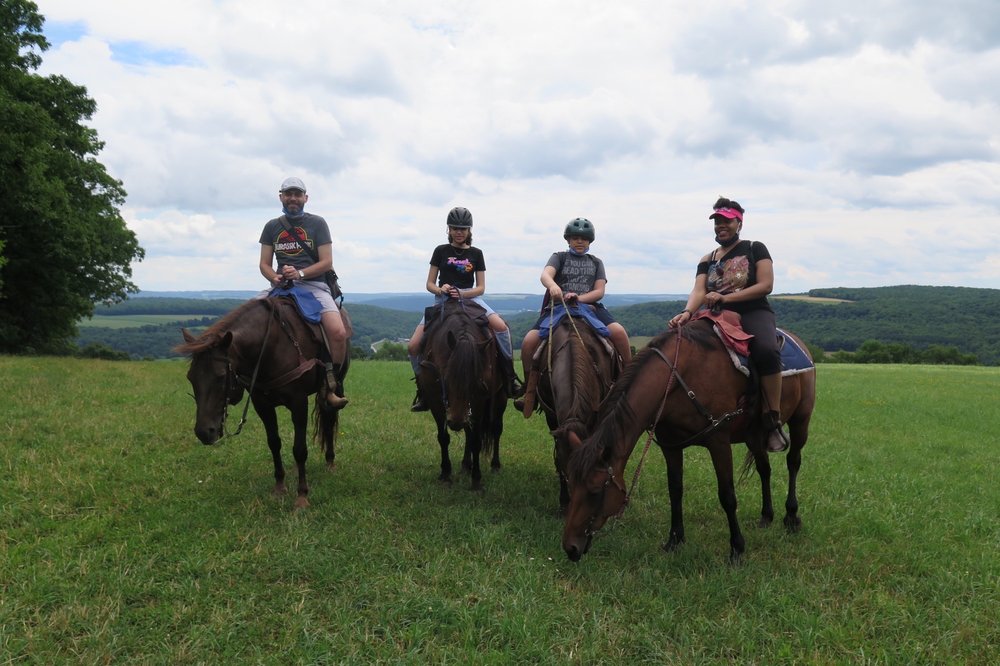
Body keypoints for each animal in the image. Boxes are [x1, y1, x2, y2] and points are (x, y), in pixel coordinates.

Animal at [176, 296, 352, 508]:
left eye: (220, 377)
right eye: (190, 378)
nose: (203, 432)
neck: (271, 347)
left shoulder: (299, 403)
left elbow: (299, 449)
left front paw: (302, 495)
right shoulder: (263, 405)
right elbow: (274, 443)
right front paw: (279, 487)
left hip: (336, 385)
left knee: (329, 418)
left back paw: (330, 462)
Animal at [416, 298, 508, 490]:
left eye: (477, 383)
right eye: (445, 377)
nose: (456, 421)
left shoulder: (479, 401)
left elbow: (477, 441)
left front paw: (476, 480)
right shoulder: (436, 400)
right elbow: (444, 437)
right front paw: (445, 473)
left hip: (499, 398)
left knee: (496, 429)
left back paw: (495, 465)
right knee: (468, 431)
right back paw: (466, 464)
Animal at [560, 318, 816, 560]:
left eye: (595, 490)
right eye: (571, 483)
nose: (570, 548)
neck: (677, 379)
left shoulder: (719, 442)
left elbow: (727, 496)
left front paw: (737, 548)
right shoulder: (671, 445)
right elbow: (675, 489)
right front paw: (674, 540)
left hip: (800, 421)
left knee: (793, 462)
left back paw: (791, 516)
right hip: (754, 435)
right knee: (764, 469)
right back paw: (766, 516)